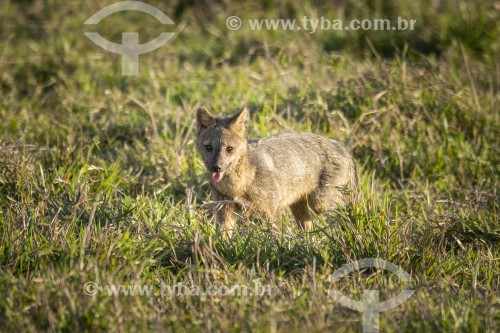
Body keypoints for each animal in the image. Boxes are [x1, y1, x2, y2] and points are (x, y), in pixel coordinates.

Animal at [194, 107, 356, 236]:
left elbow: (277, 237)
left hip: (320, 205)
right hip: (301, 210)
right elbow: (222, 241)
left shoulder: (272, 212)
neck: (238, 186)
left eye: (229, 149)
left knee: (346, 214)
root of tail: (341, 147)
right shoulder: (224, 215)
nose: (216, 167)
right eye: (208, 147)